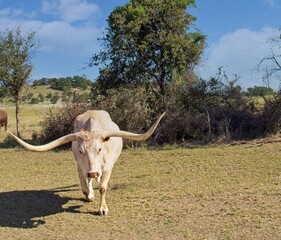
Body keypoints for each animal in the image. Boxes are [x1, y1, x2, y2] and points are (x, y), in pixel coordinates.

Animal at [7, 109, 164, 215]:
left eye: (99, 149)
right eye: (81, 151)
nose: (93, 173)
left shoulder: (108, 168)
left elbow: (103, 188)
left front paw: (102, 208)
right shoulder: (80, 166)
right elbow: (84, 185)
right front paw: (89, 195)